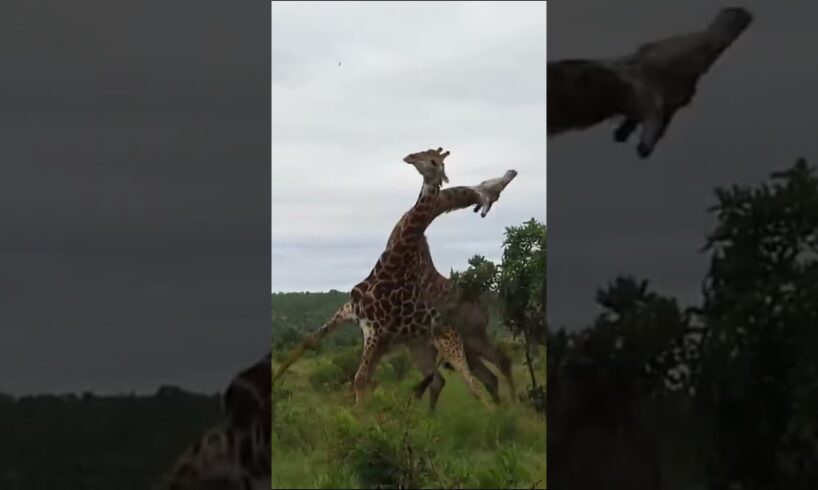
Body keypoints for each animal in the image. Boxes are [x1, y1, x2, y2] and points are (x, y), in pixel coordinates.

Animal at [272, 147, 518, 408]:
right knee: (461, 378)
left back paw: (508, 409)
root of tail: (483, 305)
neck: (391, 266)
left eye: (434, 161)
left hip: (464, 339)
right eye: (424, 153)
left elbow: (360, 379)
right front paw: (274, 383)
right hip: (433, 346)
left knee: (491, 367)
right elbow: (309, 341)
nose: (410, 157)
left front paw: (360, 414)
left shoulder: (374, 331)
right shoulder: (351, 313)